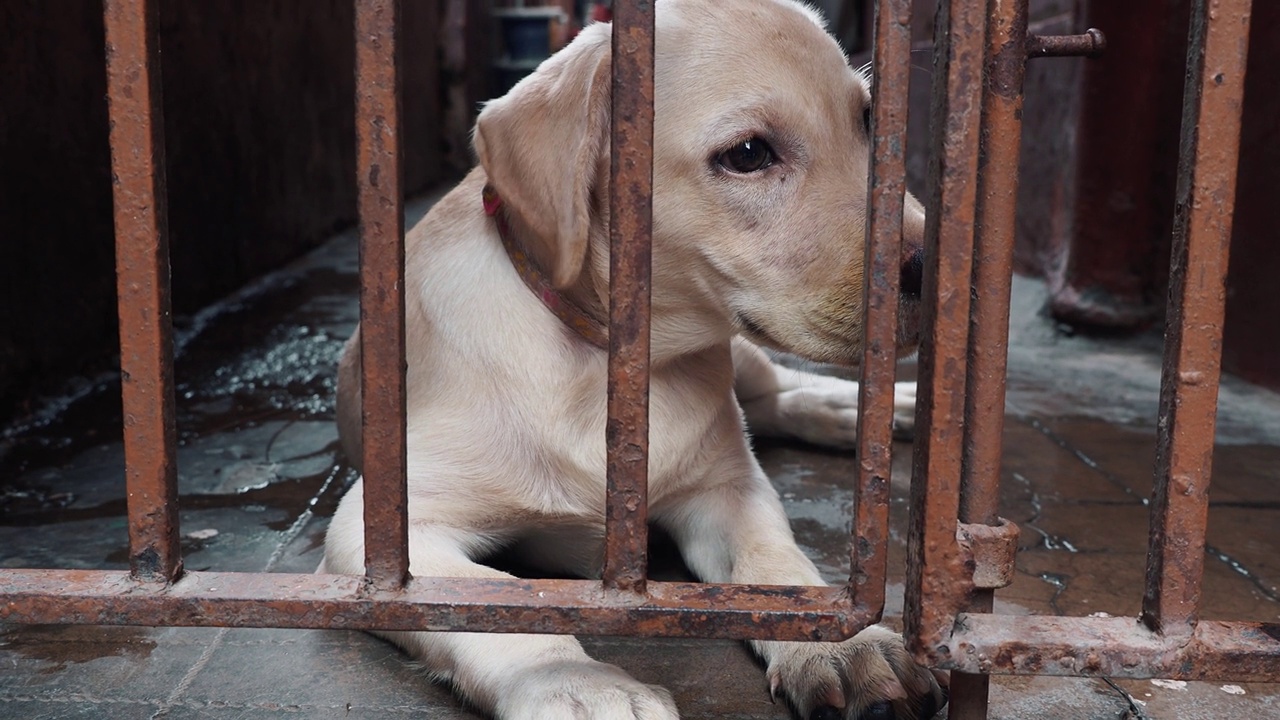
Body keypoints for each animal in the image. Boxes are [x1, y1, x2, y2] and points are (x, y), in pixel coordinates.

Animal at [325, 0, 936, 712]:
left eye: (869, 121)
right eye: (749, 154)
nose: (942, 266)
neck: (603, 371)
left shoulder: (727, 489)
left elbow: (777, 570)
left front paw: (845, 644)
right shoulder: (385, 540)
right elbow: (492, 602)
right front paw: (578, 687)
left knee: (776, 392)